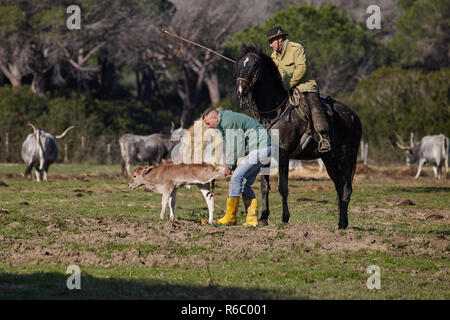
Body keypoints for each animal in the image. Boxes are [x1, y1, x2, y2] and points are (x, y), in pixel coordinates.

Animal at [236, 45, 362, 230]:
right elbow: (265, 186)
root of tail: (354, 116)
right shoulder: (265, 155)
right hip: (329, 159)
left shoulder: (283, 155)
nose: (241, 90)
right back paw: (340, 222)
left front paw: (285, 217)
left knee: (347, 188)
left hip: (347, 156)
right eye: (239, 64)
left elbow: (283, 187)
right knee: (339, 186)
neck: (275, 111)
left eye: (254, 65)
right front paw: (264, 217)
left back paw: (343, 223)